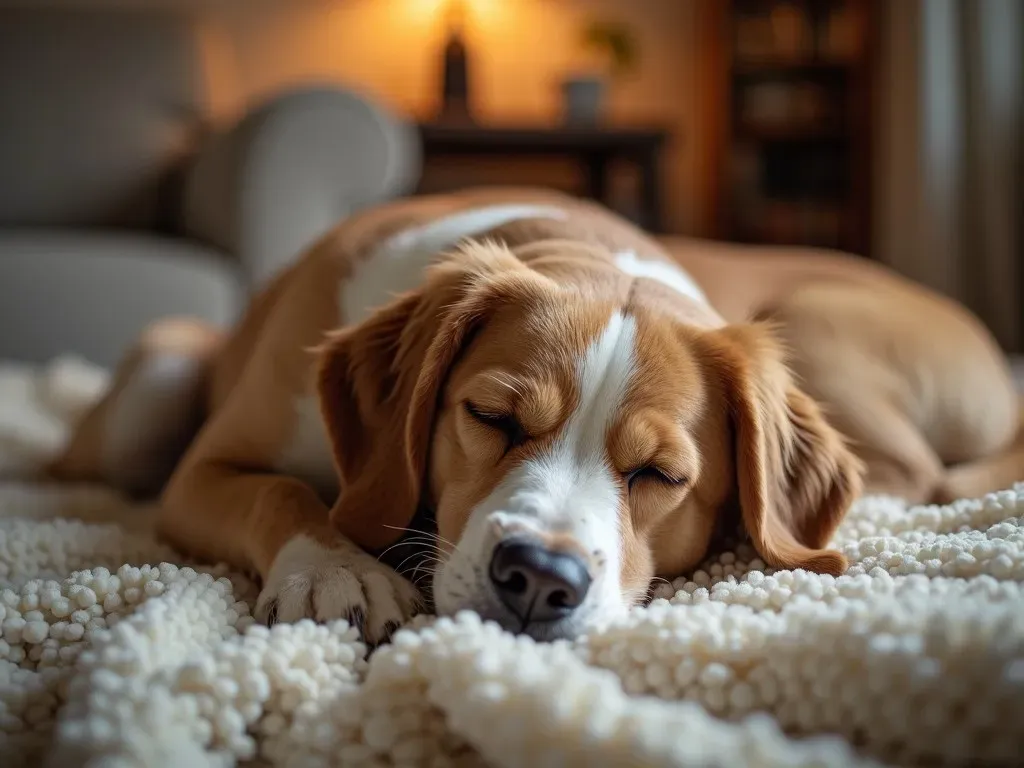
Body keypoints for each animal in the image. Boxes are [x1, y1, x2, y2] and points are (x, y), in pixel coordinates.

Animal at [49, 188, 1024, 643]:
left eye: (660, 475)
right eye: (491, 416)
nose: (538, 581)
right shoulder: (202, 474)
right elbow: (279, 492)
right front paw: (337, 569)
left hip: (814, 324)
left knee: (917, 474)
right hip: (157, 379)